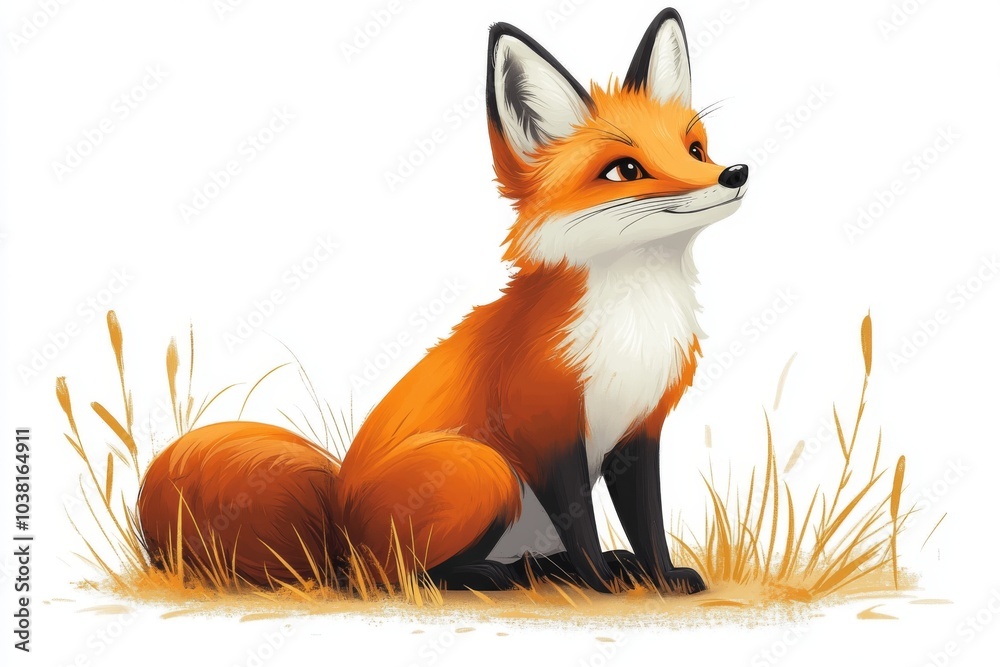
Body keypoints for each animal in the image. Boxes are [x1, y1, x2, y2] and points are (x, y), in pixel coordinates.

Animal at [137, 8, 749, 594]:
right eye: (625, 170)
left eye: (695, 149)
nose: (734, 172)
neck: (633, 328)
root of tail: (339, 529)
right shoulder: (546, 429)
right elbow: (584, 531)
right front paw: (602, 584)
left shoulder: (638, 431)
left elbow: (647, 525)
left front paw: (659, 578)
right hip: (485, 470)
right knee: (395, 576)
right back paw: (491, 576)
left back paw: (548, 570)